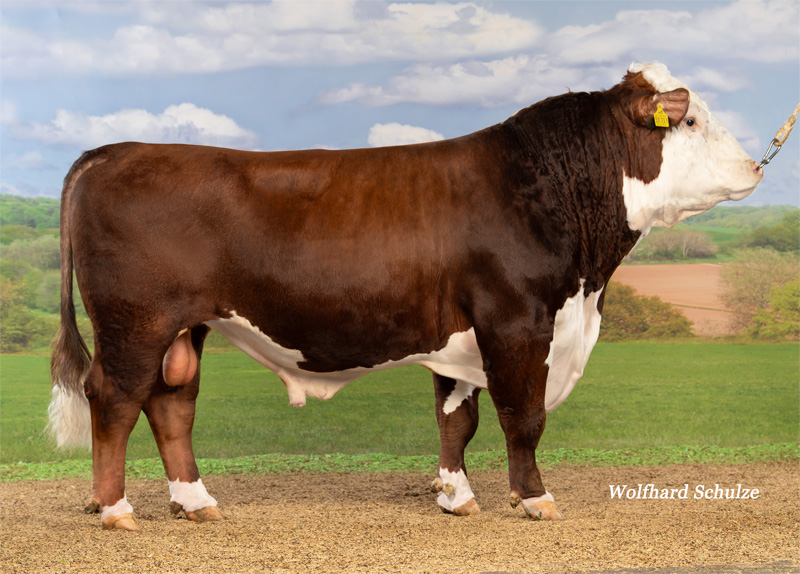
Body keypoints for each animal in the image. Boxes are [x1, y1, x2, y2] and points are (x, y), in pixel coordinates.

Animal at [48, 62, 762, 530]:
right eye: (691, 119)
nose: (757, 165)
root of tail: (113, 151)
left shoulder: (466, 334)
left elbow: (457, 419)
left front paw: (456, 495)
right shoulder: (517, 321)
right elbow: (524, 416)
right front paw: (533, 498)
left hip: (182, 326)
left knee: (171, 403)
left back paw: (195, 503)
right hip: (136, 321)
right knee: (115, 398)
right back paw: (115, 510)